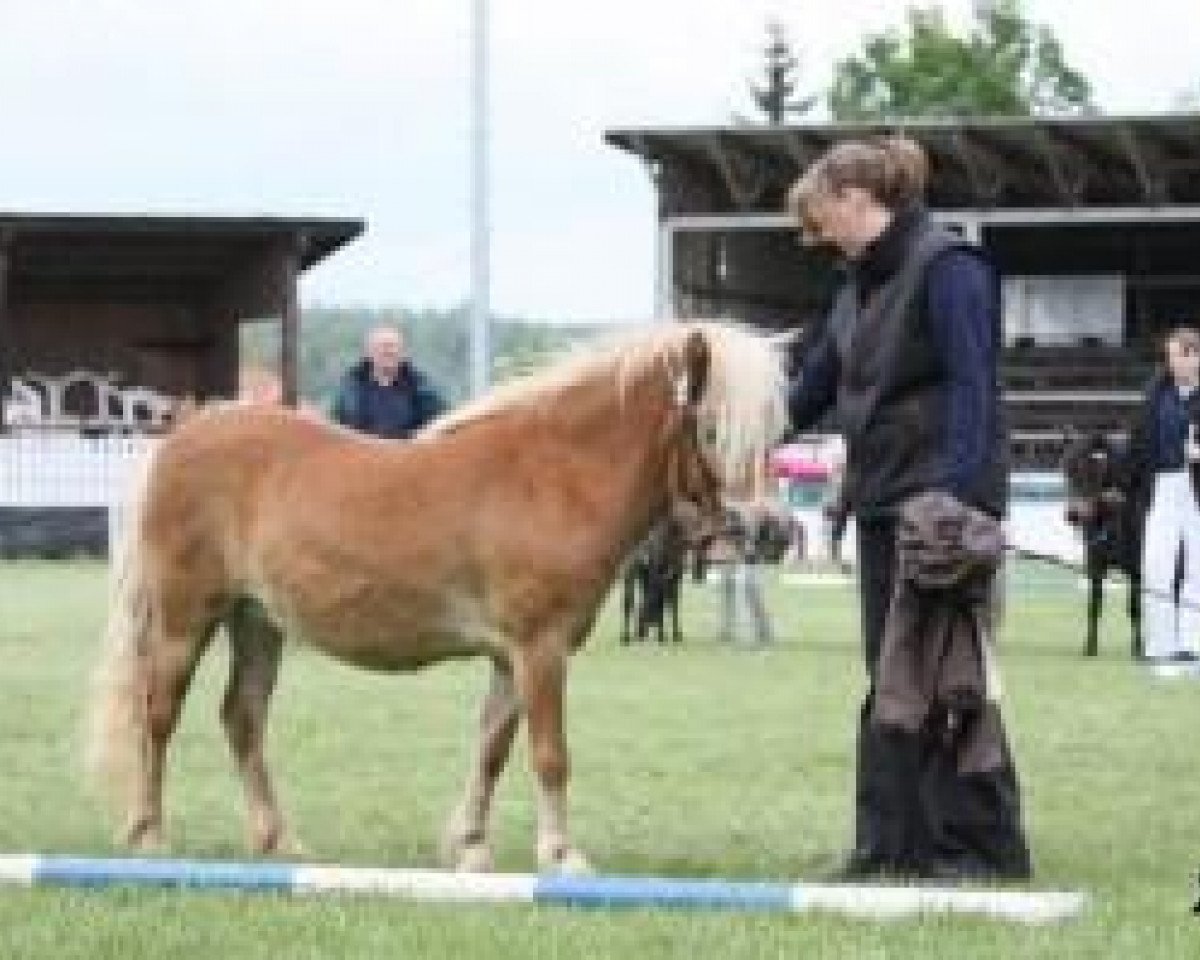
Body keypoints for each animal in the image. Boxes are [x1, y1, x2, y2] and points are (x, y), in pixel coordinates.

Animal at [87, 322, 788, 873]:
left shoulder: (511, 656)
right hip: (186, 618)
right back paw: (149, 836)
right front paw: (562, 855)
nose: (771, 532)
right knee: (158, 714)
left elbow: (493, 748)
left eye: (775, 433)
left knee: (243, 717)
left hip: (258, 621)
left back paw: (276, 840)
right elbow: (549, 754)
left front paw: (472, 846)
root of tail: (183, 434)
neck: (555, 479)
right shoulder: (540, 649)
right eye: (711, 428)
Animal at [1060, 431, 1144, 658]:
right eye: (1067, 469)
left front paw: (1139, 648)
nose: (1073, 515)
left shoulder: (1137, 569)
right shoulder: (1095, 563)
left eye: (1095, 471)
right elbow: (1094, 604)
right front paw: (1090, 647)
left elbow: (1135, 607)